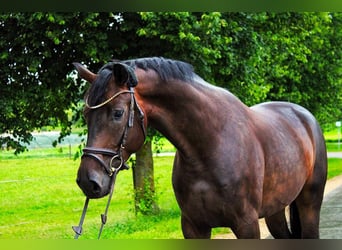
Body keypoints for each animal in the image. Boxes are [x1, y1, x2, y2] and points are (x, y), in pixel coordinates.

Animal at [74, 56, 326, 238]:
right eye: (86, 114)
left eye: (117, 113)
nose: (88, 181)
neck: (210, 146)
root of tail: (304, 116)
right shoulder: (193, 226)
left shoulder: (246, 224)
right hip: (276, 211)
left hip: (309, 204)